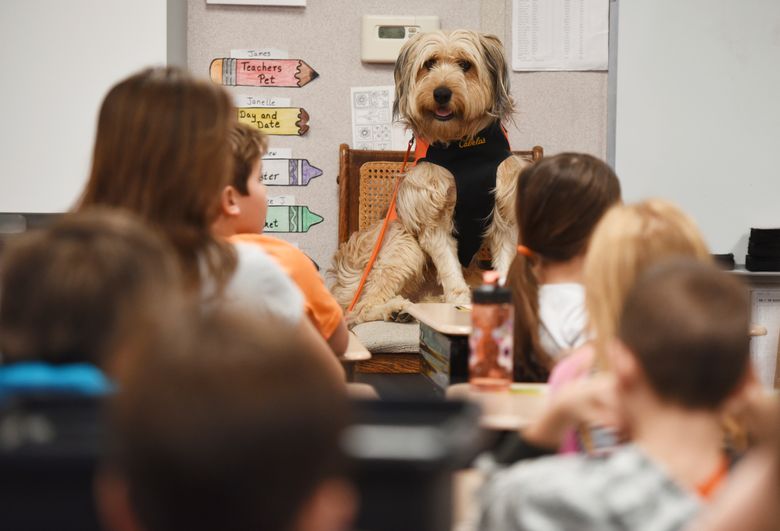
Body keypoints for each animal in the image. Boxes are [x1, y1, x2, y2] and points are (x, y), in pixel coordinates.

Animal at [332, 32, 528, 324]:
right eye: (429, 64)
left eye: (465, 64)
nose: (441, 93)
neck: (463, 145)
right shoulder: (431, 219)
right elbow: (450, 270)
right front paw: (460, 304)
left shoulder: (504, 215)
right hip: (403, 243)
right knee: (359, 308)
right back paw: (394, 310)